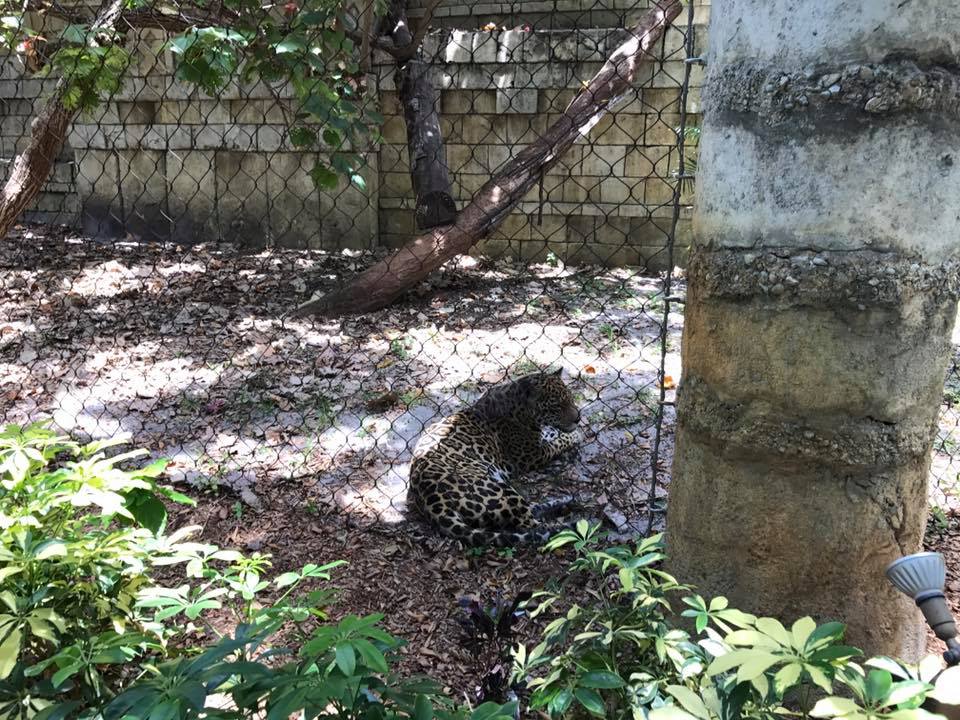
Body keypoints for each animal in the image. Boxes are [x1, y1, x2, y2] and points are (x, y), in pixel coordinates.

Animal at [408, 368, 583, 547]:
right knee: (531, 524)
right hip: (494, 487)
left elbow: (552, 434)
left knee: (530, 510)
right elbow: (558, 442)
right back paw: (564, 524)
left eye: (570, 398)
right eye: (556, 406)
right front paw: (575, 435)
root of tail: (433, 500)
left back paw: (566, 500)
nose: (578, 418)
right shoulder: (532, 455)